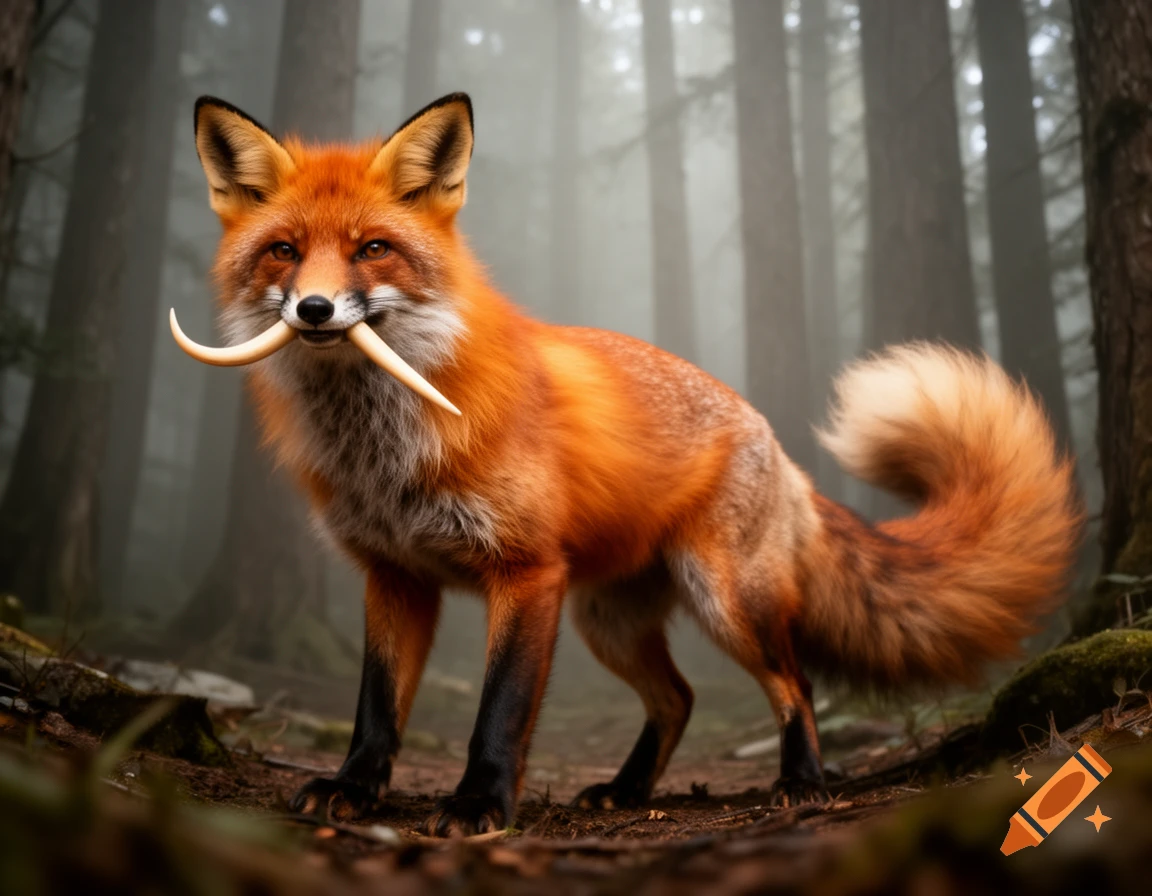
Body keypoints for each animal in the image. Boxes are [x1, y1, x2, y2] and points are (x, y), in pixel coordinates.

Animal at [178, 92, 1082, 836]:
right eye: (283, 251)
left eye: (372, 249)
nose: (315, 309)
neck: (383, 449)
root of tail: (773, 438)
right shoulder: (394, 575)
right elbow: (376, 707)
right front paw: (354, 789)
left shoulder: (526, 573)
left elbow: (499, 711)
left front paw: (478, 805)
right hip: (607, 621)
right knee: (678, 699)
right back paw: (628, 790)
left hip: (725, 603)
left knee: (795, 683)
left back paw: (804, 780)